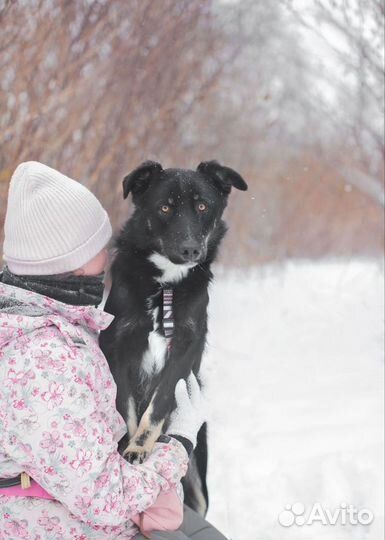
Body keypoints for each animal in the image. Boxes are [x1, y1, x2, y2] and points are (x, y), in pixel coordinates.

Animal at [99, 158, 248, 512]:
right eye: (165, 207)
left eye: (203, 206)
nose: (191, 249)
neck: (165, 284)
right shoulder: (117, 344)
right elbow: (125, 403)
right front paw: (130, 449)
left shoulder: (184, 351)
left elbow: (157, 404)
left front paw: (139, 447)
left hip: (198, 484)